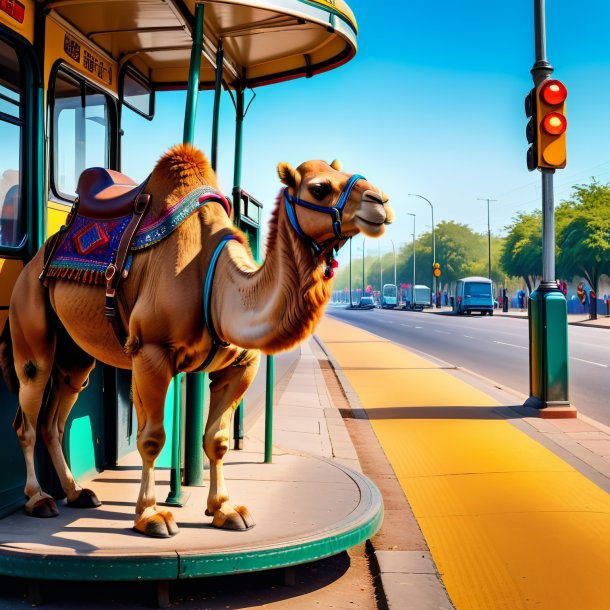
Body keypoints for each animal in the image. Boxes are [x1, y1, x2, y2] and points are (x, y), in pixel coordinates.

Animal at [0, 144, 394, 536]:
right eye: (319, 188)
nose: (381, 201)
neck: (216, 285)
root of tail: (40, 255)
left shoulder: (241, 365)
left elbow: (216, 440)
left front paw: (225, 510)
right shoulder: (151, 354)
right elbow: (152, 438)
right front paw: (151, 516)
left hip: (75, 355)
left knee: (56, 415)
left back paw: (76, 492)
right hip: (30, 319)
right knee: (28, 414)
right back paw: (39, 499)